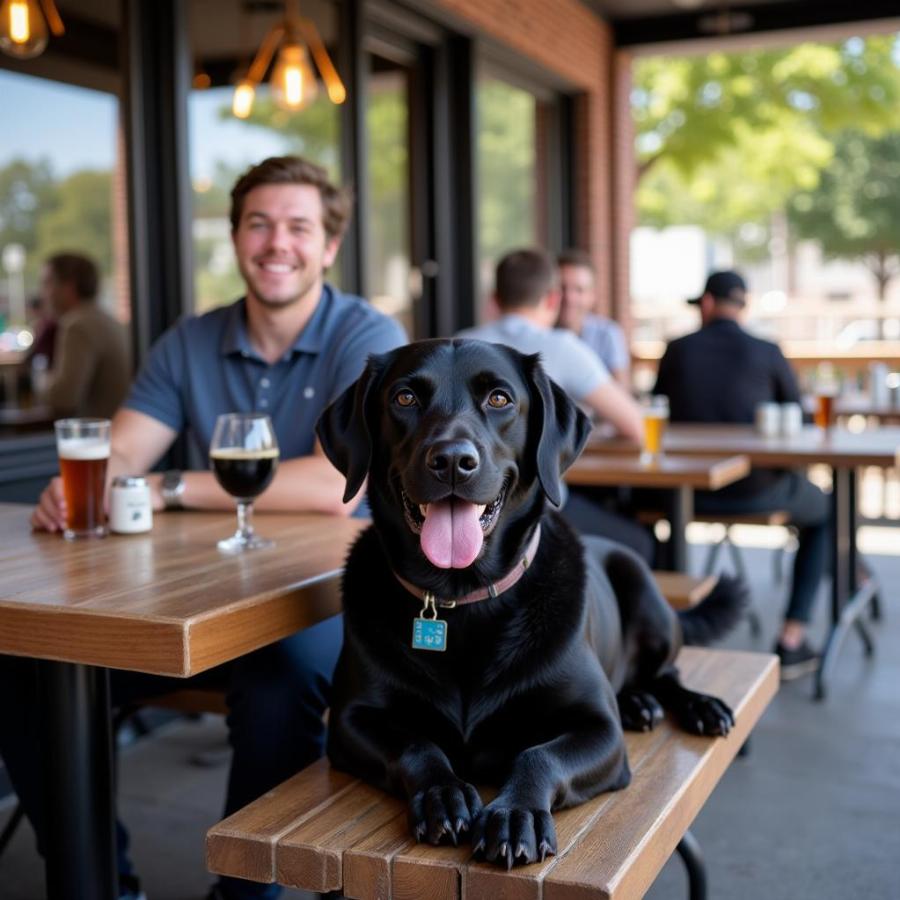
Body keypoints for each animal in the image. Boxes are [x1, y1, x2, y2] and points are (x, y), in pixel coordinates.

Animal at [318, 338, 744, 864]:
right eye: (404, 398)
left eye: (499, 399)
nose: (452, 460)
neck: (462, 600)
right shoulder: (349, 720)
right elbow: (415, 744)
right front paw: (444, 794)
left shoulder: (600, 730)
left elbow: (538, 754)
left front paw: (514, 813)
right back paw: (637, 703)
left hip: (645, 594)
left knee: (667, 672)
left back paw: (697, 706)